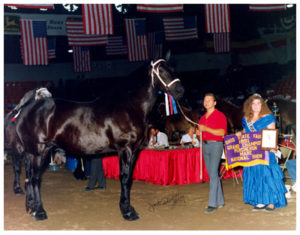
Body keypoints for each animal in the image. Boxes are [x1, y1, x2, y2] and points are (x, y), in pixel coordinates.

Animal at [10, 58, 184, 220]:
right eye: (161, 71)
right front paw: (127, 211)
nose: (180, 90)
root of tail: (25, 109)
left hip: (34, 152)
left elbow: (129, 178)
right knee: (35, 179)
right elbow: (125, 178)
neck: (129, 107)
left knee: (29, 178)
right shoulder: (125, 149)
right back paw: (39, 212)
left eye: (172, 68)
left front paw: (128, 208)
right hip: (38, 152)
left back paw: (31, 208)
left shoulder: (134, 151)